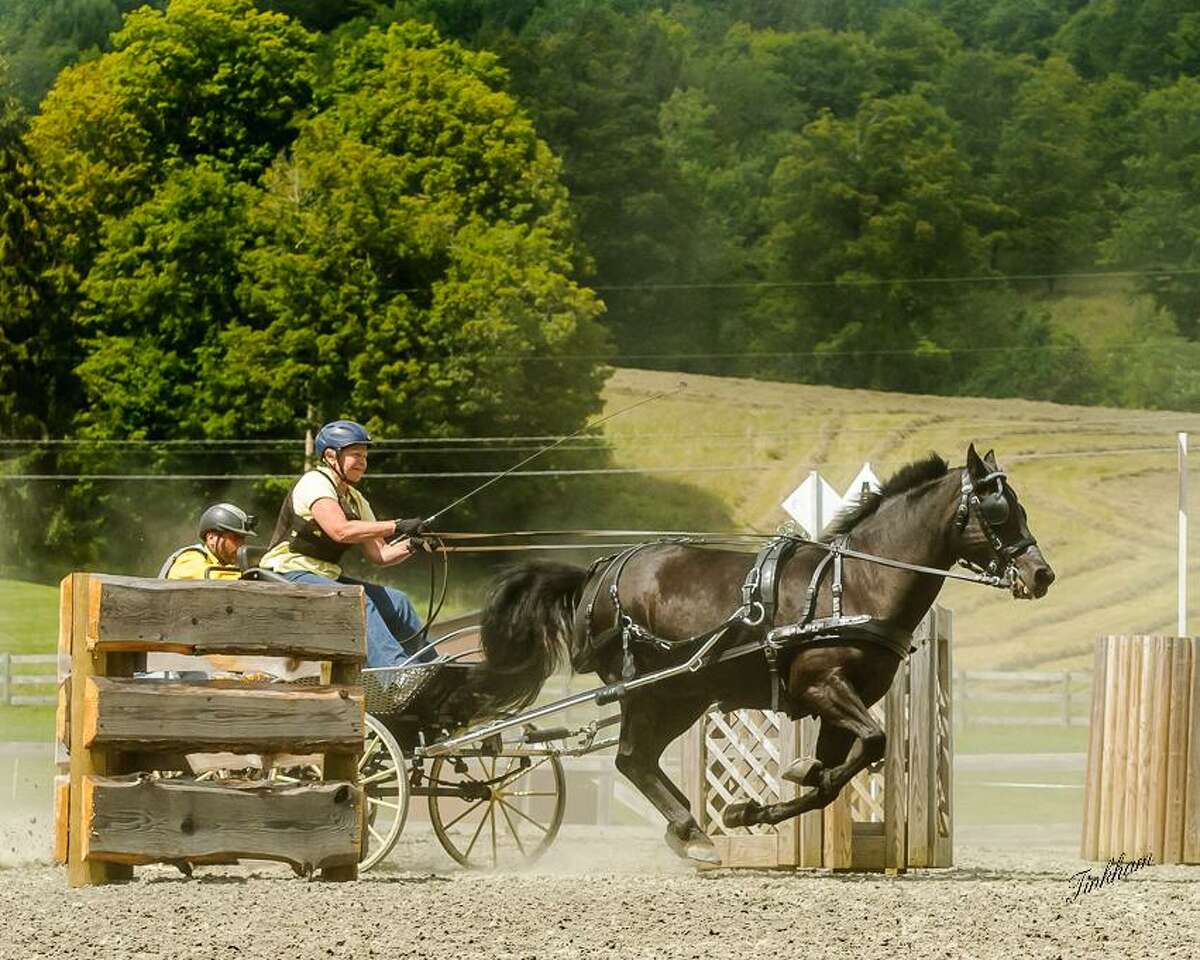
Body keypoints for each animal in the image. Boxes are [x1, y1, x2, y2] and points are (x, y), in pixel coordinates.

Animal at [471, 444, 1055, 864]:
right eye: (997, 510)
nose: (1041, 574)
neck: (855, 585)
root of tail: (602, 570)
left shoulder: (844, 702)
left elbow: (838, 772)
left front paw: (756, 806)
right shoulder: (822, 687)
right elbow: (872, 744)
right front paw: (774, 792)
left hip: (683, 694)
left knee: (640, 760)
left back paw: (693, 831)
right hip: (649, 688)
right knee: (631, 757)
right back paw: (692, 833)